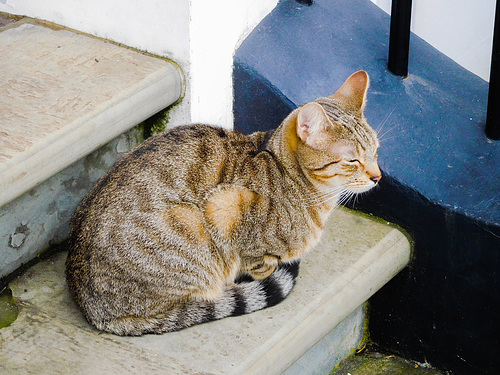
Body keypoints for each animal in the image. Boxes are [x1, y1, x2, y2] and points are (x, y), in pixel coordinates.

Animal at [64, 71, 380, 338]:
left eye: (376, 152)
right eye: (352, 160)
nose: (378, 177)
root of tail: (95, 311)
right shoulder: (229, 207)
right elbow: (261, 265)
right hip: (191, 225)